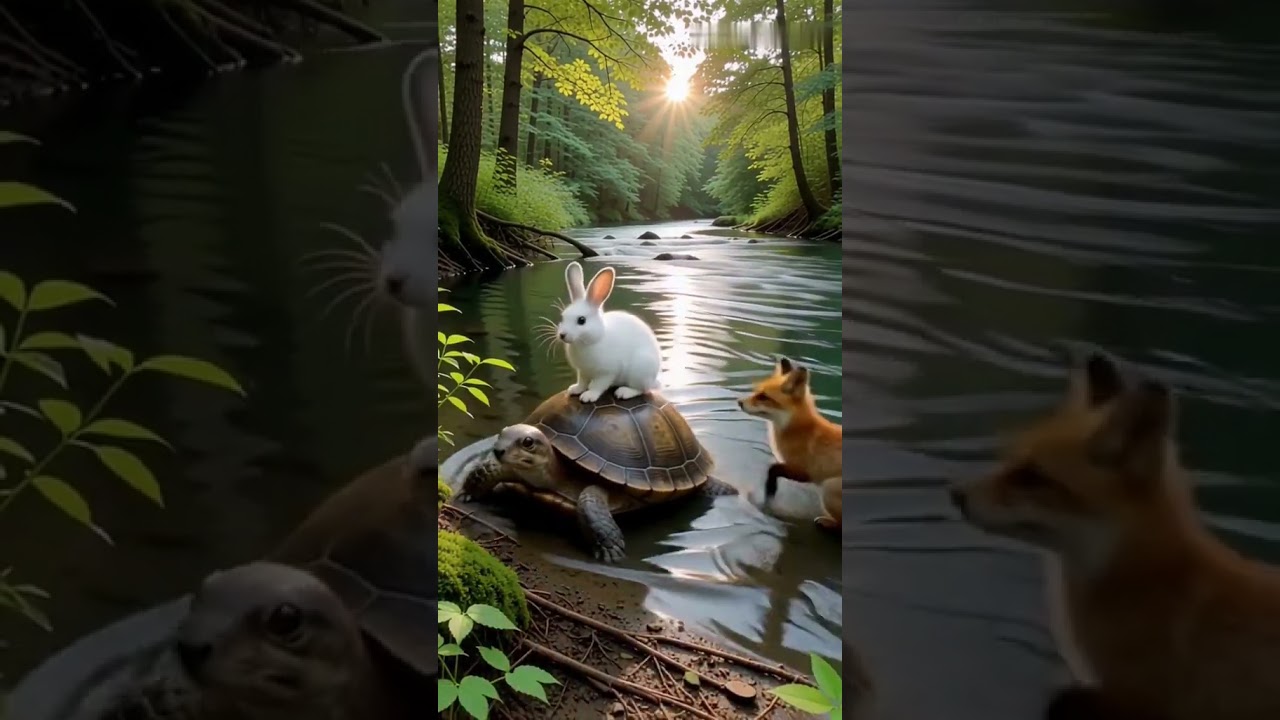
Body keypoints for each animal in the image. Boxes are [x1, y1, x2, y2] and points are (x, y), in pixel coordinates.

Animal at [557, 261, 661, 403]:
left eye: (581, 320)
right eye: (563, 316)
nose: (562, 335)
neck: (591, 341)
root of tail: (654, 378)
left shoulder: (607, 373)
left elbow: (597, 386)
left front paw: (588, 396)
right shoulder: (583, 371)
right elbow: (582, 382)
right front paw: (575, 389)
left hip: (640, 370)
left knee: (642, 389)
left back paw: (624, 392)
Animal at [738, 357, 842, 532]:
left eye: (764, 397)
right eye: (757, 392)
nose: (738, 402)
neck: (800, 429)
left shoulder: (804, 472)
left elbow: (773, 469)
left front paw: (770, 492)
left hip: (828, 488)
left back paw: (827, 522)